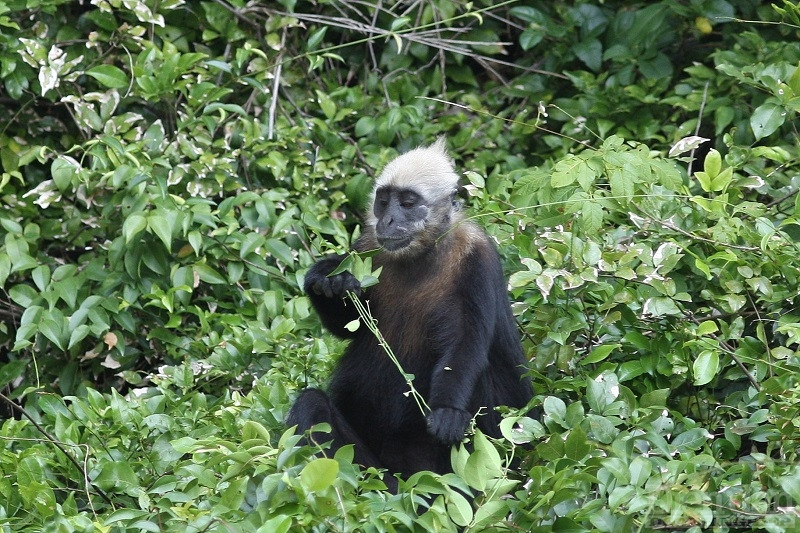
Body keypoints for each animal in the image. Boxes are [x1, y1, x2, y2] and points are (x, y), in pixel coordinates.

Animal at [286, 138, 532, 490]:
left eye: (407, 202)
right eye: (383, 202)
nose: (387, 220)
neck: (422, 255)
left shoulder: (478, 257)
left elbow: (466, 341)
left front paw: (447, 410)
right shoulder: (366, 248)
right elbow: (346, 328)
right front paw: (327, 279)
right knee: (312, 403)